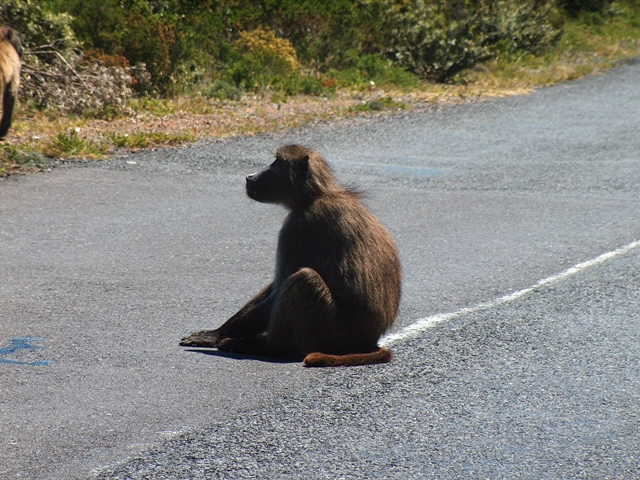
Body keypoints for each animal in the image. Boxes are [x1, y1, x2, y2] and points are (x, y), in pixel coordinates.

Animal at [180, 145, 402, 367]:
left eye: (277, 162)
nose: (250, 177)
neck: (316, 196)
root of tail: (367, 343)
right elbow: (274, 288)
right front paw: (215, 331)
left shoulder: (297, 227)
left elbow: (279, 288)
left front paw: (214, 335)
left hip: (333, 333)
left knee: (304, 279)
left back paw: (264, 347)